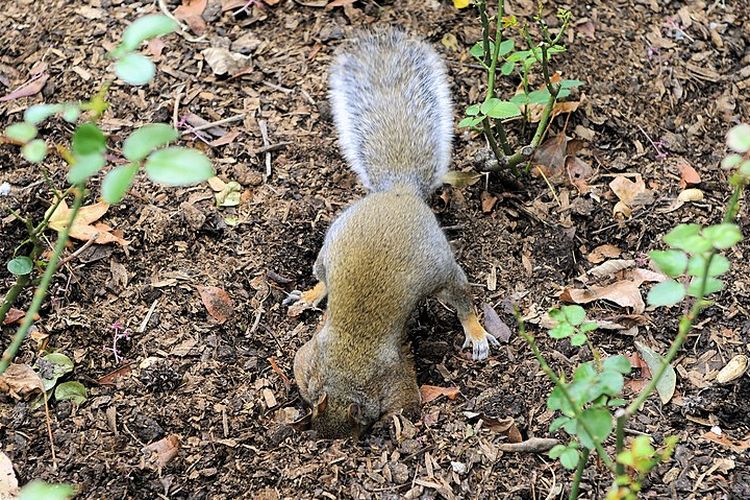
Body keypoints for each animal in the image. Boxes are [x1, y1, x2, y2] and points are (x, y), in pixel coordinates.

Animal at [292, 30, 500, 438]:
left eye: (359, 428)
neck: (346, 365)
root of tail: (400, 191)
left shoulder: (391, 376)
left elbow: (406, 401)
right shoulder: (310, 360)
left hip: (440, 269)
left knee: (462, 297)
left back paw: (476, 332)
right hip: (329, 246)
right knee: (322, 278)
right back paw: (309, 296)